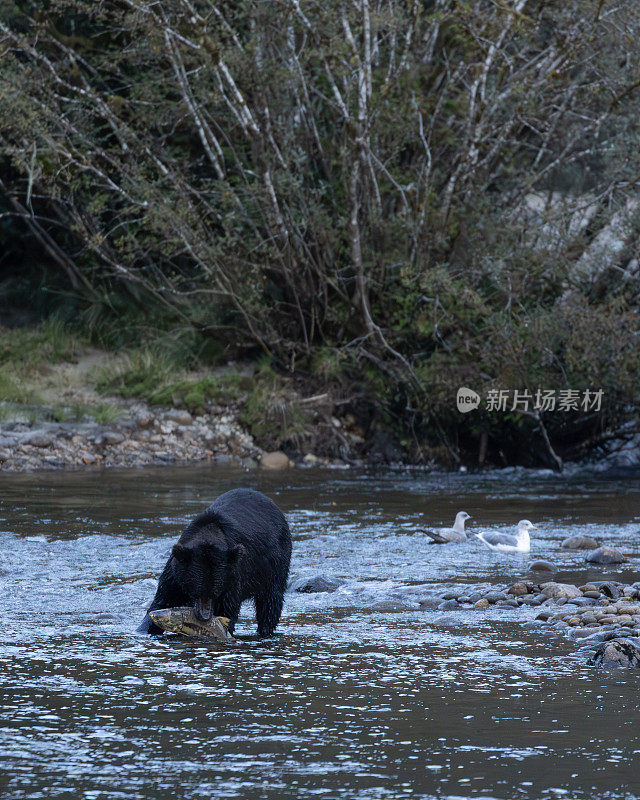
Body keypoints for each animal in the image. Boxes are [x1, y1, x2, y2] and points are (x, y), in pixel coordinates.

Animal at [139, 488, 294, 636]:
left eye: (215, 593)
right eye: (195, 592)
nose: (204, 616)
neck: (208, 534)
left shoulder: (233, 576)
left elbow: (227, 610)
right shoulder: (175, 575)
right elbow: (162, 600)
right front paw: (146, 628)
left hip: (275, 565)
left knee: (270, 602)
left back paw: (266, 630)